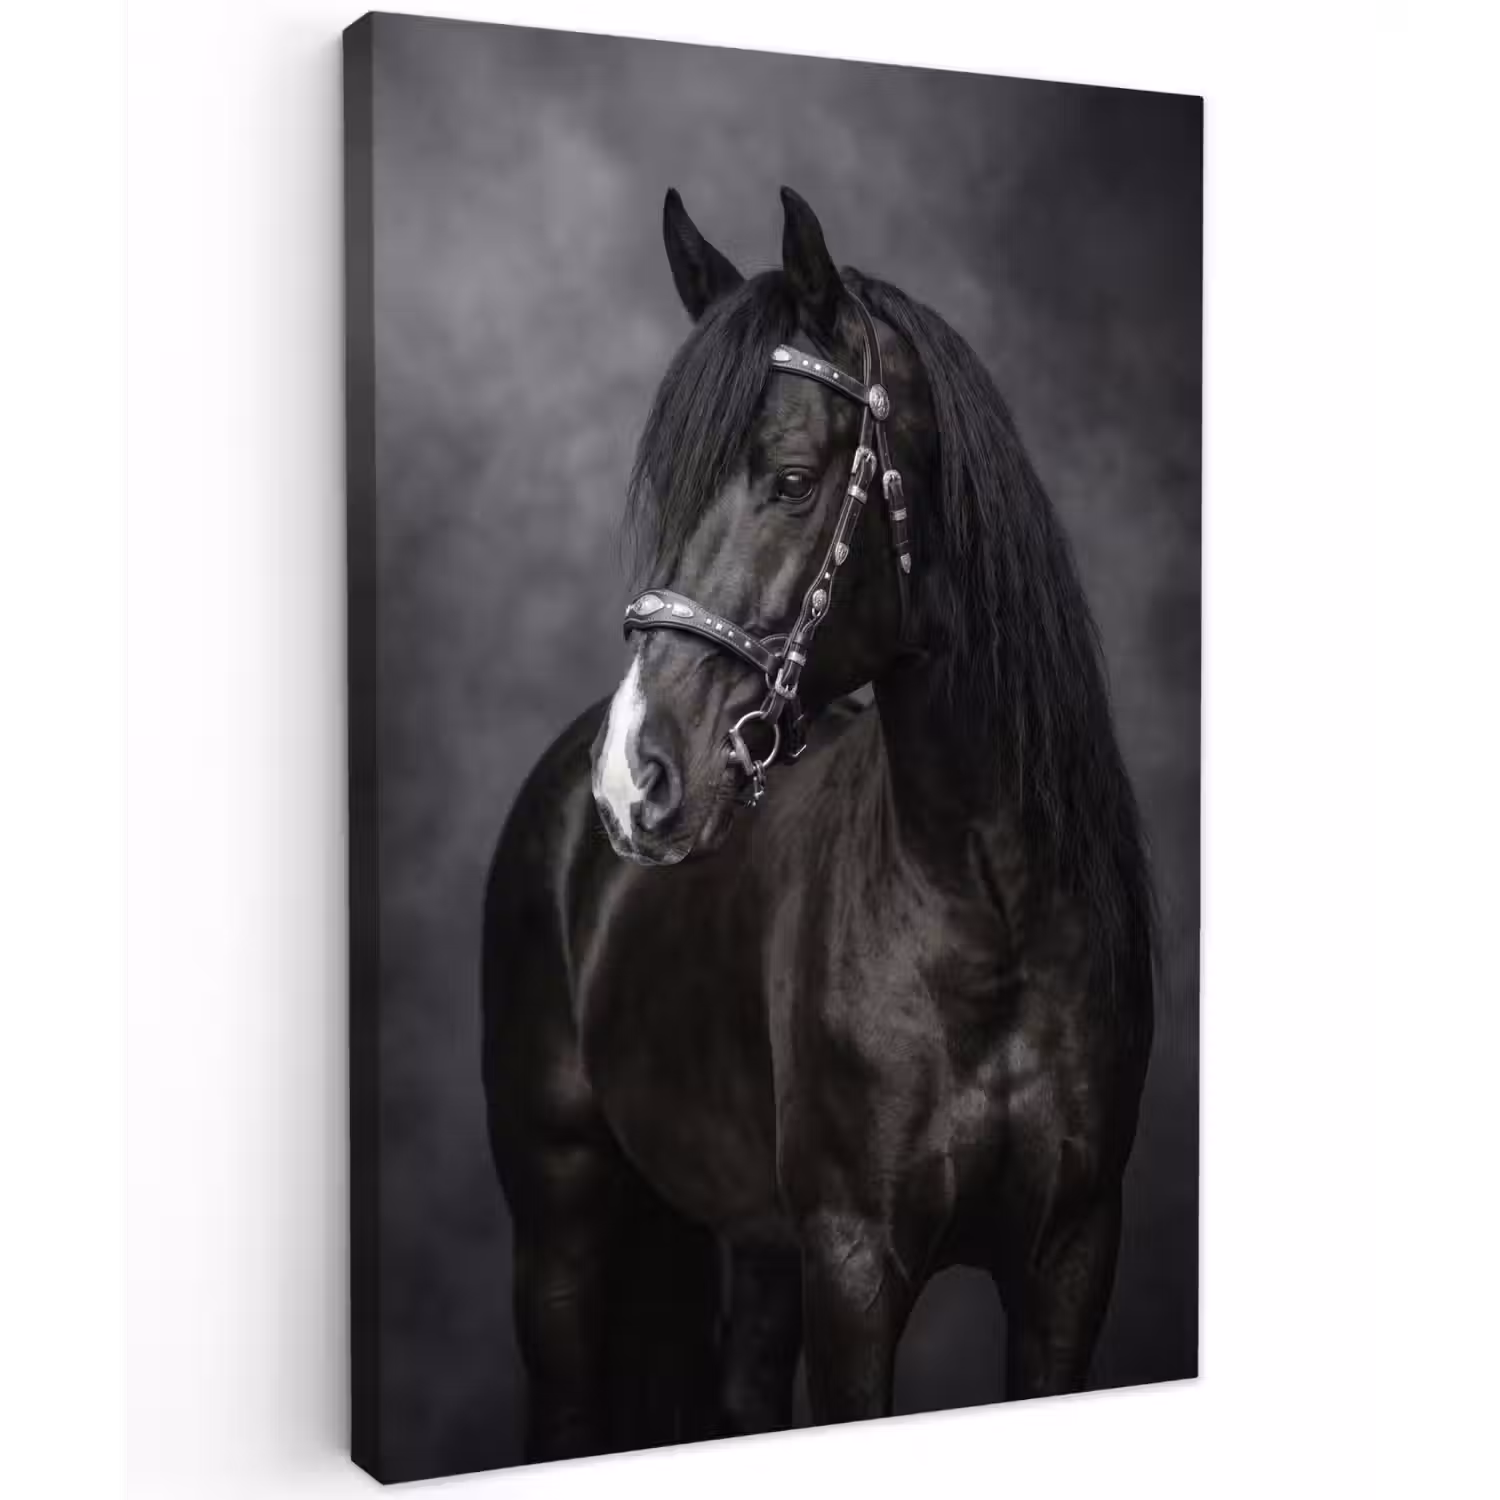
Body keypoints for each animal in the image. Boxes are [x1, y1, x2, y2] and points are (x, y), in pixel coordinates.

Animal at [481, 185, 1155, 1463]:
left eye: (793, 480)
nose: (633, 779)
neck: (989, 911)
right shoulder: (856, 1263)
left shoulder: (1071, 1262)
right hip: (561, 1225)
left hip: (754, 1240)